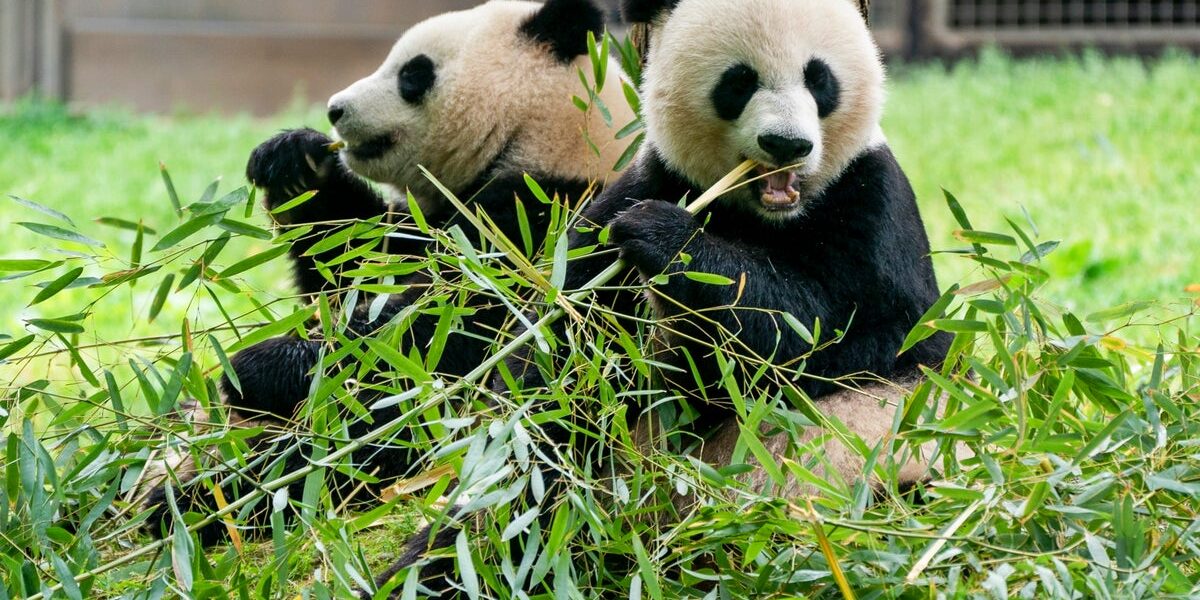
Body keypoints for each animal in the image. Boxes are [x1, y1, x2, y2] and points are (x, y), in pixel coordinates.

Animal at [141, 0, 635, 545]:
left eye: (412, 74)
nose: (335, 109)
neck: (545, 134)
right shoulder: (426, 223)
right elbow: (349, 266)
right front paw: (294, 161)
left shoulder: (547, 221)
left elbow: (444, 336)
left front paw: (258, 366)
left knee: (356, 448)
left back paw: (201, 501)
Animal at [375, 0, 953, 595]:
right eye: (738, 82)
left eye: (819, 79)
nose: (787, 145)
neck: (765, 214)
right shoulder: (639, 188)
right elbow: (560, 363)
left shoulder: (873, 206)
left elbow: (836, 334)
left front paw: (668, 240)